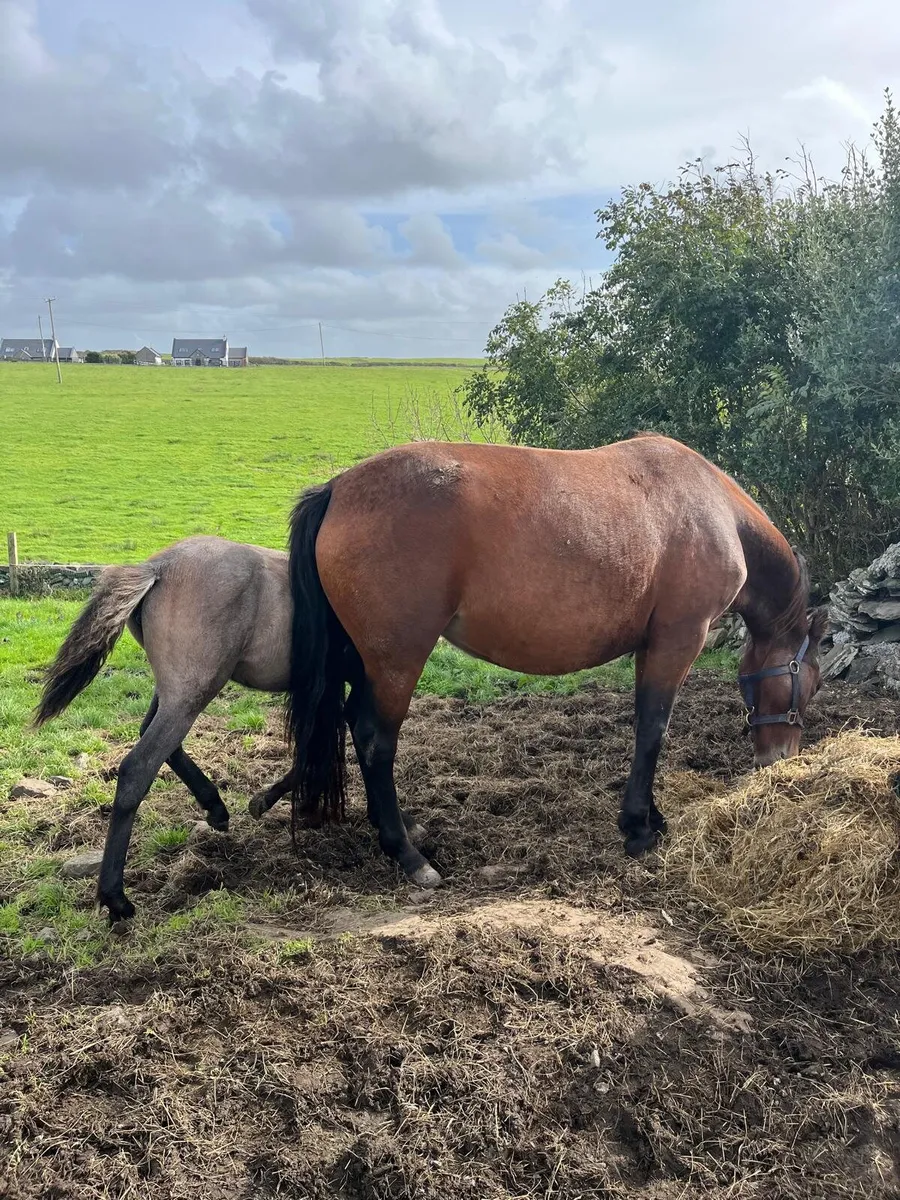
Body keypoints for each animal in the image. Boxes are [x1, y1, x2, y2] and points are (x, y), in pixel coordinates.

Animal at [32, 536, 424, 922]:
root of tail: (157, 568)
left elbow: (335, 746)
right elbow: (339, 747)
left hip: (179, 693)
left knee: (155, 738)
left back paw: (215, 807)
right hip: (192, 692)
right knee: (137, 768)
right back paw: (116, 899)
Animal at [265, 432, 827, 891]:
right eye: (813, 684)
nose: (781, 759)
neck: (713, 509)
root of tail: (338, 488)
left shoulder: (652, 647)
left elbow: (646, 727)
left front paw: (651, 817)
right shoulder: (678, 641)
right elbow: (654, 728)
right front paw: (639, 830)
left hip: (362, 657)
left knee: (351, 724)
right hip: (397, 660)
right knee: (373, 737)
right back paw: (406, 853)